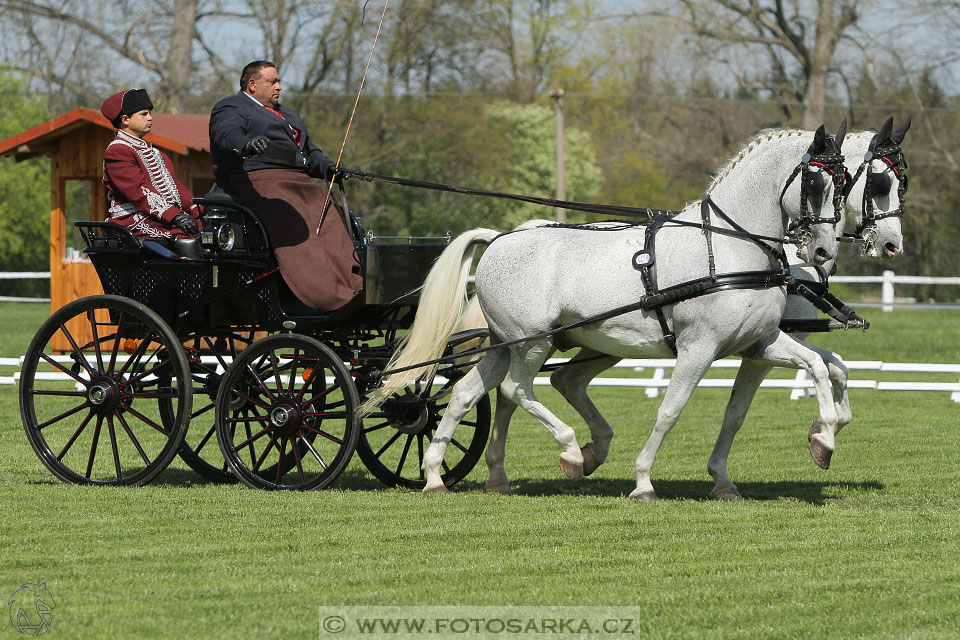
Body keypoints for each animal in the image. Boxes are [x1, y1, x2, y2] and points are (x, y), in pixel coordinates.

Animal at [368, 122, 848, 498]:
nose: (824, 251)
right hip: (534, 344)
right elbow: (670, 410)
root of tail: (501, 238)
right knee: (515, 389)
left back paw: (438, 476)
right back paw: (570, 452)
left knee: (468, 393)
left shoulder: (759, 343)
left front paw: (824, 437)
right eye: (814, 183)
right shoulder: (699, 348)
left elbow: (819, 367)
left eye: (843, 183)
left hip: (508, 344)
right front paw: (643, 482)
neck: (728, 248)